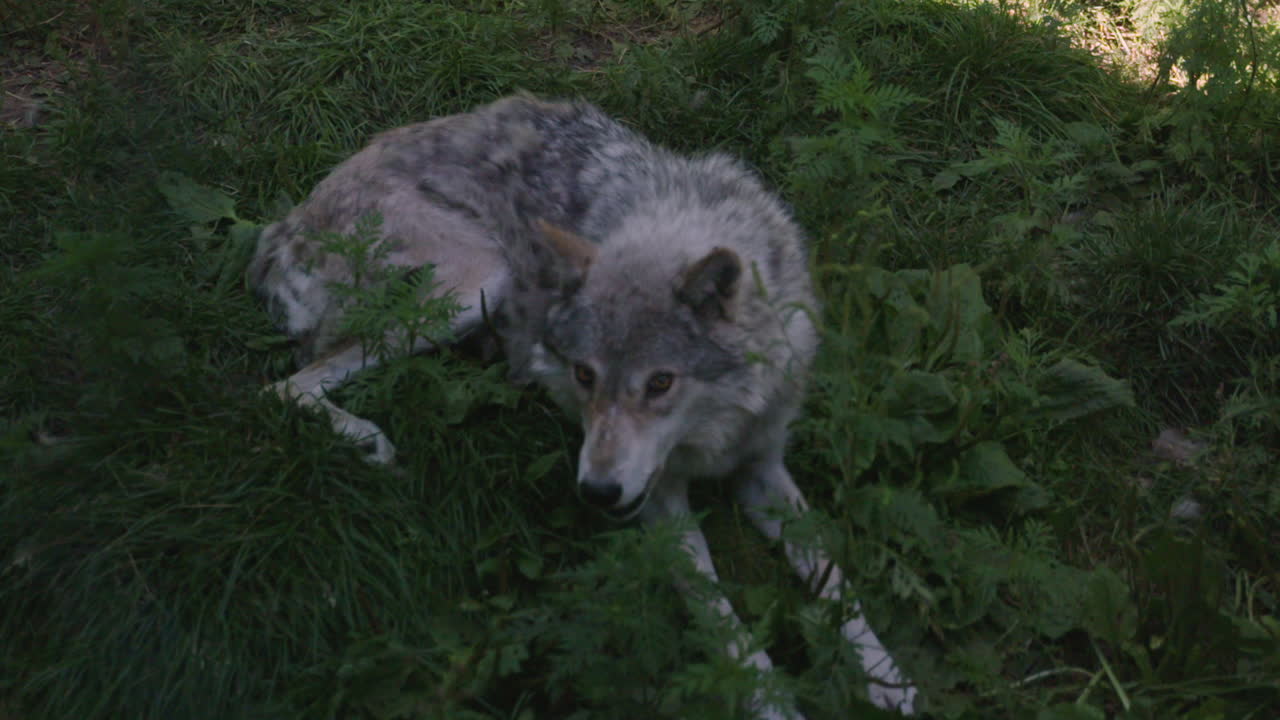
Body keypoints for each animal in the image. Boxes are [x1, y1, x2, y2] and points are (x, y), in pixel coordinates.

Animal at [248, 95, 917, 717]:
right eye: (584, 374)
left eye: (660, 383)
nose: (597, 493)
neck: (713, 433)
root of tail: (283, 226)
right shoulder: (661, 503)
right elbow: (725, 625)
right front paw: (773, 703)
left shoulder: (761, 468)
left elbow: (836, 577)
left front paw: (889, 679)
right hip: (478, 279)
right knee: (284, 387)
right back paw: (367, 438)